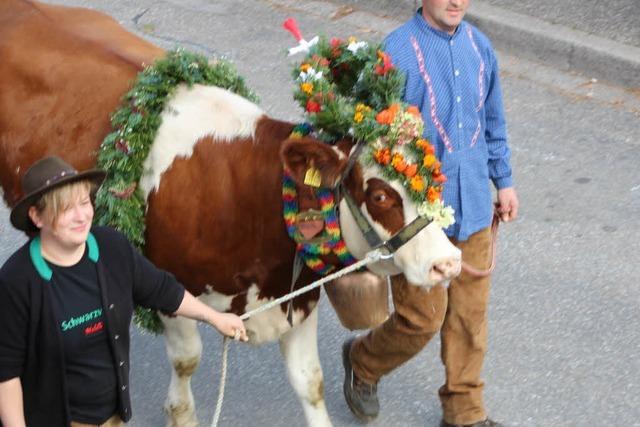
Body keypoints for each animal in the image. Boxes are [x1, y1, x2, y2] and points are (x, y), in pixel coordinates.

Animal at [0, 1, 460, 426]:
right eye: (380, 195)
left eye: (436, 176)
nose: (448, 264)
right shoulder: (168, 286)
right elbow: (188, 361)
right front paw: (180, 412)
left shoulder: (298, 298)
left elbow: (310, 382)